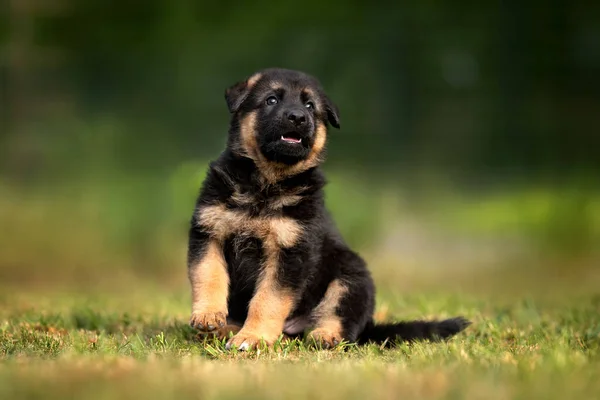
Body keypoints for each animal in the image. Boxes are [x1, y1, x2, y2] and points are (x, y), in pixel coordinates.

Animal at [186, 68, 468, 350]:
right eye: (271, 100)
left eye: (310, 106)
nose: (298, 117)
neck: (266, 182)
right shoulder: (208, 232)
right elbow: (208, 275)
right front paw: (208, 315)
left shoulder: (290, 252)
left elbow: (268, 299)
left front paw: (253, 337)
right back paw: (226, 330)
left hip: (351, 278)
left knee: (342, 322)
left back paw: (324, 335)